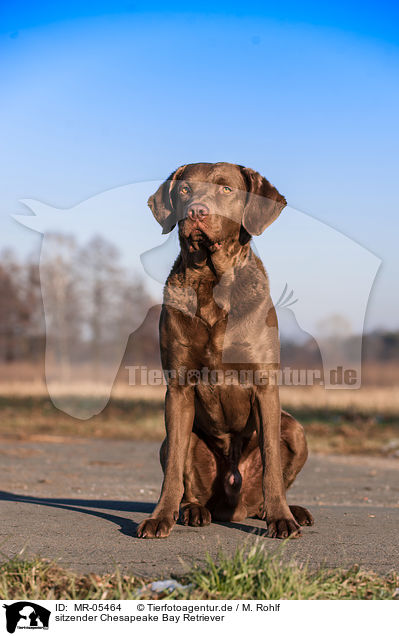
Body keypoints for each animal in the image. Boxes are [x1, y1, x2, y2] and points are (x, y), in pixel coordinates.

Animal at [138, 163, 316, 536]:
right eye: (185, 189)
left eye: (226, 189)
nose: (196, 212)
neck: (212, 283)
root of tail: (235, 508)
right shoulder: (178, 387)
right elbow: (173, 470)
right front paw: (161, 517)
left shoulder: (265, 385)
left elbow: (272, 464)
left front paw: (282, 519)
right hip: (176, 439)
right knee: (181, 467)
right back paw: (193, 510)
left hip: (294, 429)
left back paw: (286, 511)